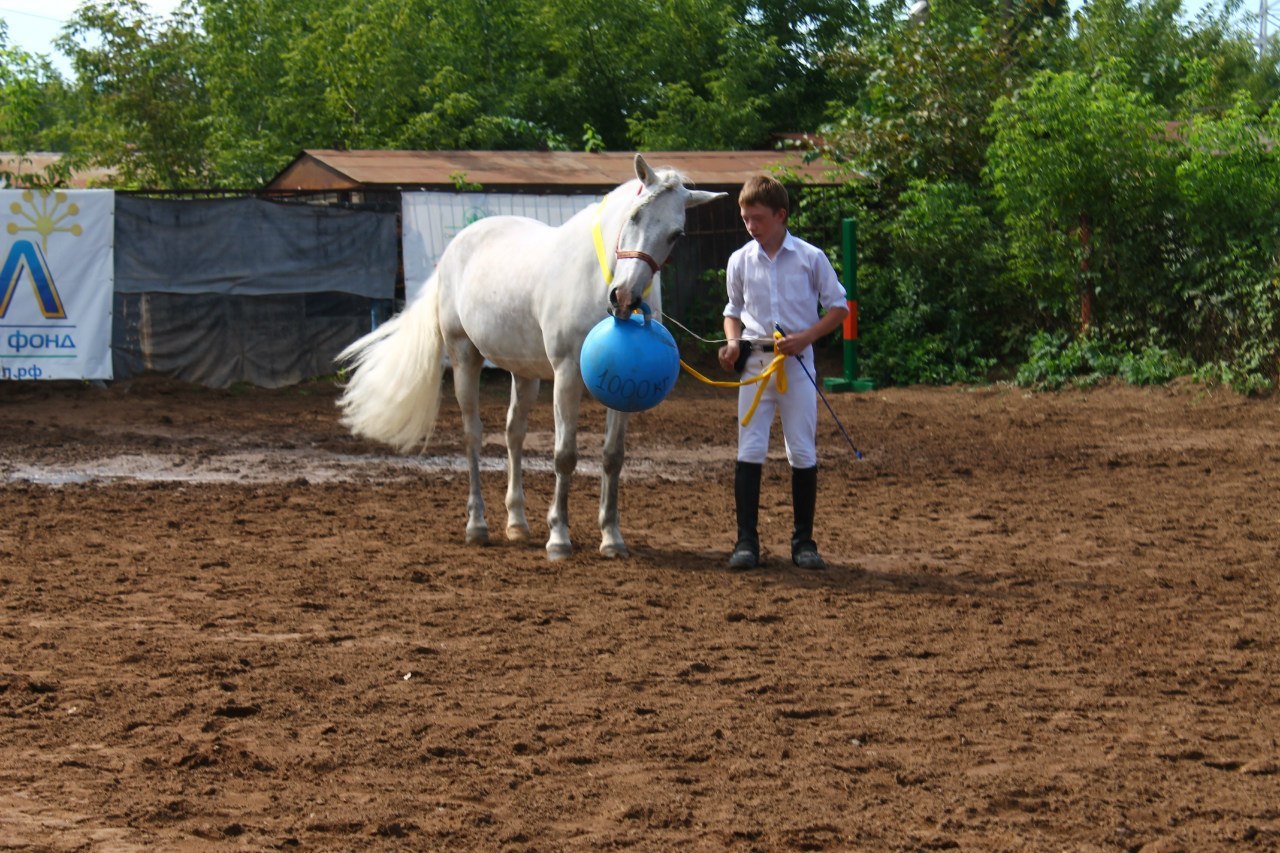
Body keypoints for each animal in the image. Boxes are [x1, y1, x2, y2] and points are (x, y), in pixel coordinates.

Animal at [335, 154, 727, 558]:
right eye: (634, 216)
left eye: (676, 234)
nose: (623, 298)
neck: (594, 277)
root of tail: (455, 248)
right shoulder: (567, 375)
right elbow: (565, 455)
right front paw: (559, 538)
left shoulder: (622, 391)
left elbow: (612, 456)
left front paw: (611, 538)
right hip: (464, 356)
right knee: (473, 435)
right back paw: (478, 526)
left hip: (523, 373)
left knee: (514, 434)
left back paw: (517, 523)